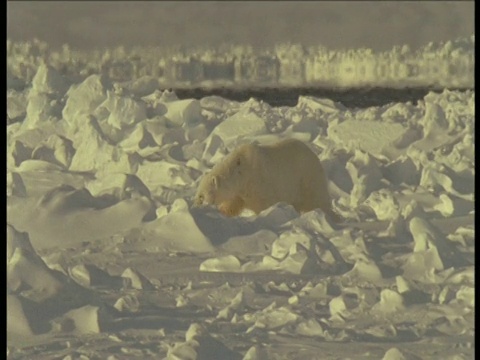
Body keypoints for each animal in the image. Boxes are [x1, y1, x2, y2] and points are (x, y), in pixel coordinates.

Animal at [193, 139, 340, 221]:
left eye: (201, 195)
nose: (197, 205)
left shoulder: (258, 182)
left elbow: (263, 204)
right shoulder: (239, 192)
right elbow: (233, 205)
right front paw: (223, 212)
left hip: (307, 178)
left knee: (318, 200)